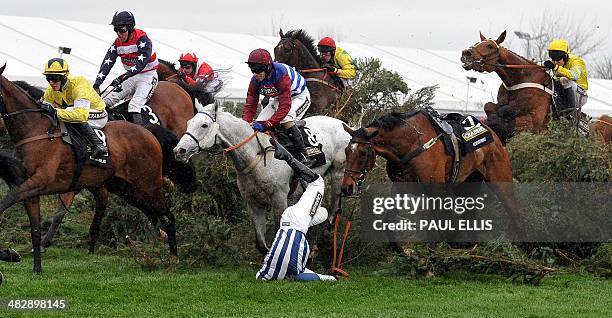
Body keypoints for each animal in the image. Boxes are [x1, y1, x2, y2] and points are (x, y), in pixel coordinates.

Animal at [0, 64, 194, 270]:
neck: (36, 130)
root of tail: (147, 131)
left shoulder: (41, 181)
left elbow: (10, 200)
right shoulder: (35, 186)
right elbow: (40, 223)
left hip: (148, 185)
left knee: (168, 216)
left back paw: (173, 258)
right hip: (127, 189)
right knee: (154, 214)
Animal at [175, 105, 352, 255]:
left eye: (204, 125)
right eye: (189, 123)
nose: (179, 150)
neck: (255, 156)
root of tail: (345, 125)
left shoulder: (279, 198)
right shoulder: (252, 202)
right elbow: (261, 243)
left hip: (339, 172)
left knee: (335, 204)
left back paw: (328, 230)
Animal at [342, 109, 520, 234]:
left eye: (362, 153)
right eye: (346, 151)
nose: (346, 187)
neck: (413, 143)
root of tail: (494, 135)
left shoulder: (436, 191)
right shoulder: (400, 186)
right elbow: (388, 222)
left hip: (501, 182)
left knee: (515, 214)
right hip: (468, 185)